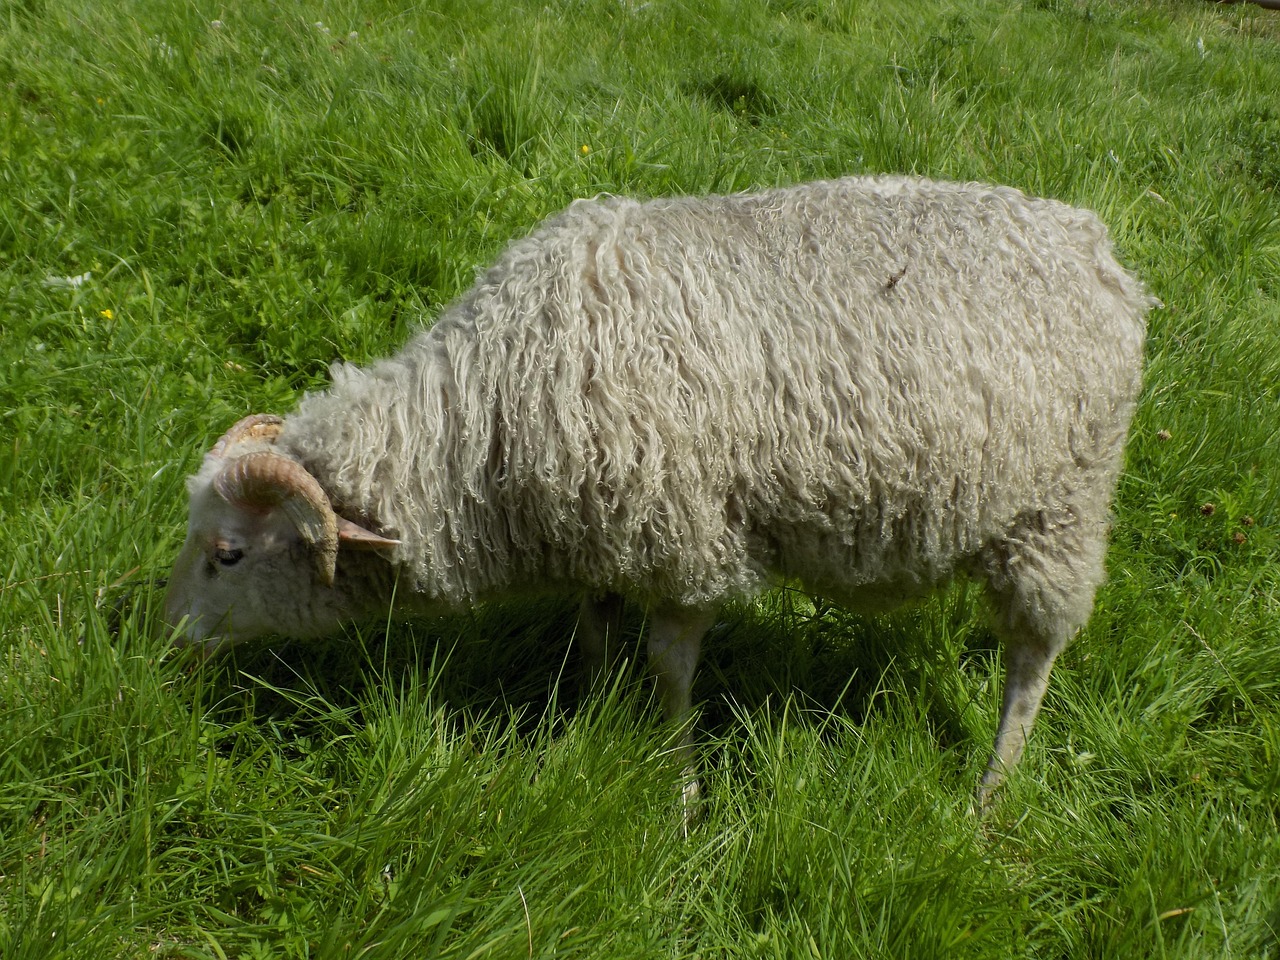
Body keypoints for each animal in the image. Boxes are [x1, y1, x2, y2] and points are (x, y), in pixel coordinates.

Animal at [164, 174, 1153, 812]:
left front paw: (678, 786)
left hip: (1060, 509)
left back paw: (989, 792)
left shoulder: (684, 535)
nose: (166, 644)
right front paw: (597, 713)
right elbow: (596, 623)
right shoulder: (603, 528)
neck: (480, 417)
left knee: (1034, 659)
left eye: (229, 554)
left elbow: (670, 666)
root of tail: (1095, 248)